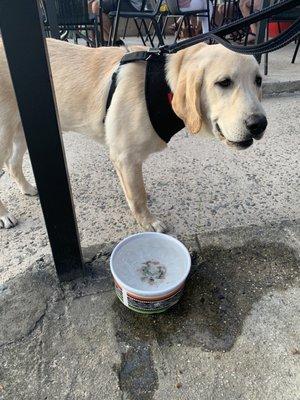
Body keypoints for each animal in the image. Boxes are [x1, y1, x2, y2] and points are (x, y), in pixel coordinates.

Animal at [0, 39, 268, 231]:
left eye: (258, 81)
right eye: (224, 82)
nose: (259, 124)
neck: (162, 88)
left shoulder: (121, 157)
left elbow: (133, 190)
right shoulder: (126, 156)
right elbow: (138, 195)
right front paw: (148, 222)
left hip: (24, 131)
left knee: (13, 164)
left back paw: (27, 188)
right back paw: (4, 216)